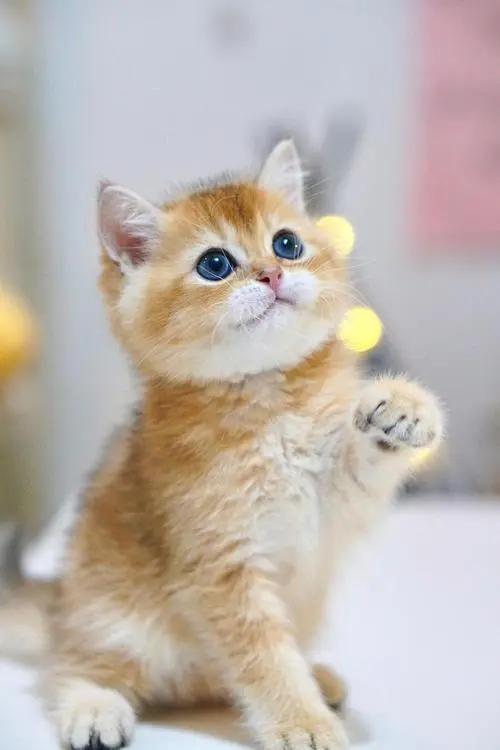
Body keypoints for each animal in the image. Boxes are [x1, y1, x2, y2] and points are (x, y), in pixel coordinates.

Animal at [9, 140, 444, 750]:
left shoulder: (330, 501)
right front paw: (303, 722)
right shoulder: (221, 567)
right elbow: (264, 659)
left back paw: (317, 675)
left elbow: (361, 463)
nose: (272, 274)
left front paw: (402, 408)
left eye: (287, 244)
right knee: (72, 668)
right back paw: (93, 706)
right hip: (107, 615)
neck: (269, 403)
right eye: (214, 265)